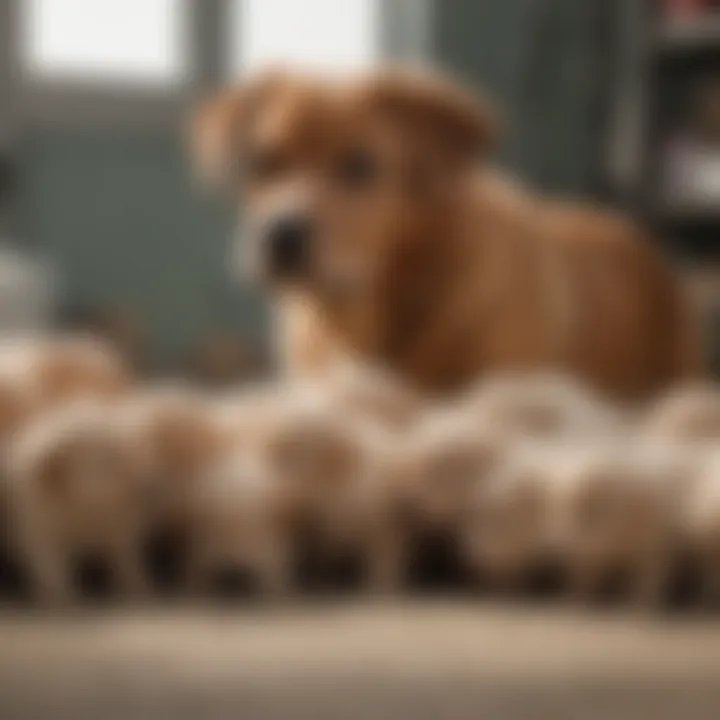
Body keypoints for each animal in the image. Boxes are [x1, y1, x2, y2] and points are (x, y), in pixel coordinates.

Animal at [5, 402, 153, 604]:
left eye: (127, 454)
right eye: (108, 462)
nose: (146, 487)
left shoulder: (116, 527)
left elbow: (127, 559)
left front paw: (141, 591)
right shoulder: (38, 528)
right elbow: (51, 569)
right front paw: (63, 601)